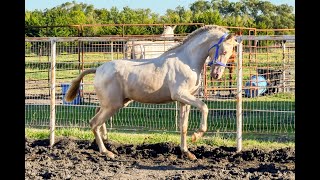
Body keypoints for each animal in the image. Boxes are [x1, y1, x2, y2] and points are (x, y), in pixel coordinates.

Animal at [65, 24, 238, 160]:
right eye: (224, 51)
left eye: (231, 53)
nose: (216, 75)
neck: (187, 60)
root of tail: (99, 69)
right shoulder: (180, 95)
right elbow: (204, 107)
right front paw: (197, 135)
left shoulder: (185, 100)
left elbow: (183, 126)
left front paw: (187, 152)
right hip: (113, 105)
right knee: (94, 123)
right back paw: (106, 152)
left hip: (113, 103)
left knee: (97, 116)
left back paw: (105, 140)